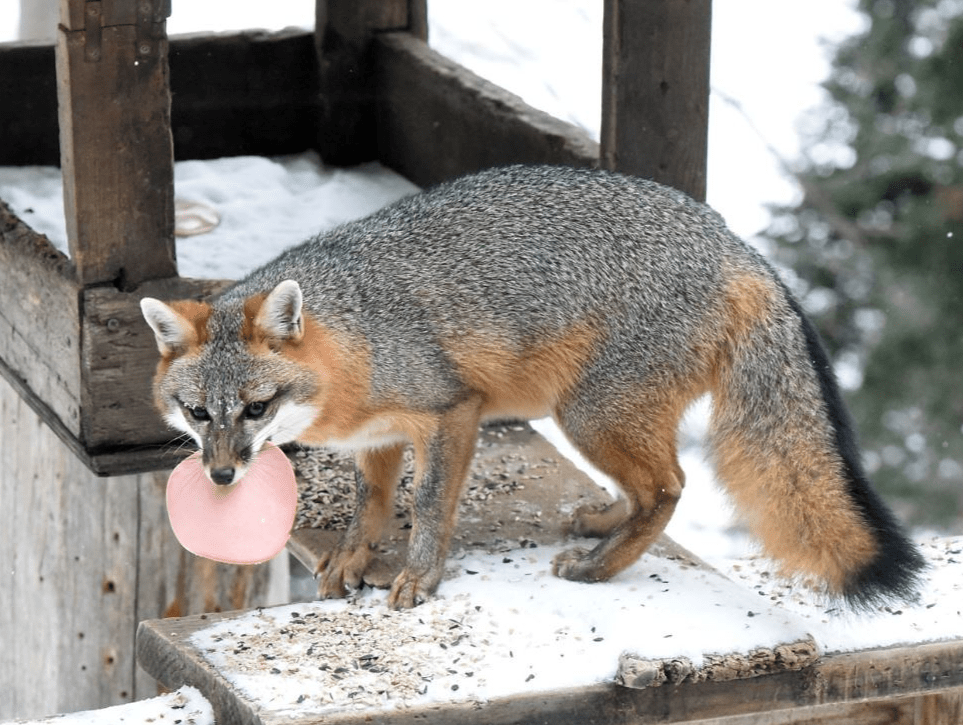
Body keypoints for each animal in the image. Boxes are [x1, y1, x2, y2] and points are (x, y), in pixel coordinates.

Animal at [141, 163, 928, 604]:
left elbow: (428, 504)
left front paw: (420, 577)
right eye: (196, 413)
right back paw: (604, 522)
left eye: (255, 408)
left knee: (670, 486)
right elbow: (370, 506)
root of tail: (739, 247)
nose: (219, 476)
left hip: (587, 413)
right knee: (650, 485)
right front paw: (352, 559)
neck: (355, 332)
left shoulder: (451, 411)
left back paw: (600, 567)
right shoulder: (381, 436)